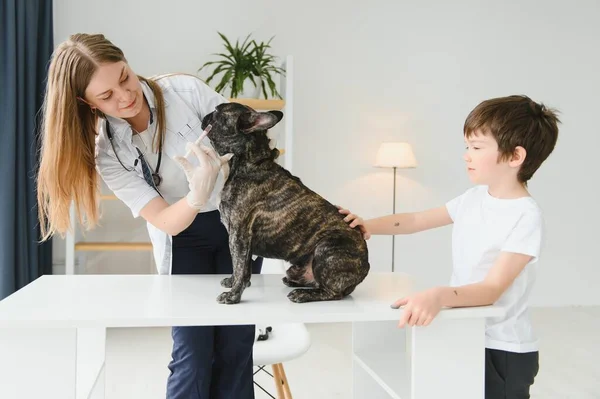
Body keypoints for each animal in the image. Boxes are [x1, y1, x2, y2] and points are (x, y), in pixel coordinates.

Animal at [204, 102, 368, 304]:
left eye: (217, 112)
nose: (206, 115)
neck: (248, 162)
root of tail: (366, 265)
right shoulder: (243, 239)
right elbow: (243, 267)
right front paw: (234, 282)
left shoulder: (238, 234)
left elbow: (240, 265)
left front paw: (233, 295)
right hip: (297, 267)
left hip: (327, 249)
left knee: (333, 292)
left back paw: (302, 294)